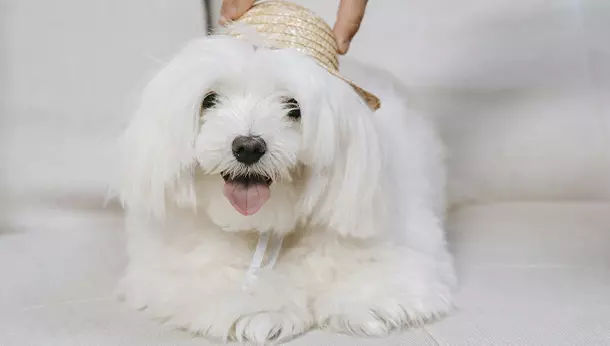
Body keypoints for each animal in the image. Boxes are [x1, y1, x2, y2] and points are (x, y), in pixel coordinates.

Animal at [113, 2, 456, 344]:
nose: (248, 147)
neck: (269, 221)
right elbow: (219, 276)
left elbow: (378, 266)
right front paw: (261, 309)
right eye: (209, 100)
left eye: (293, 107)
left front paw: (364, 300)